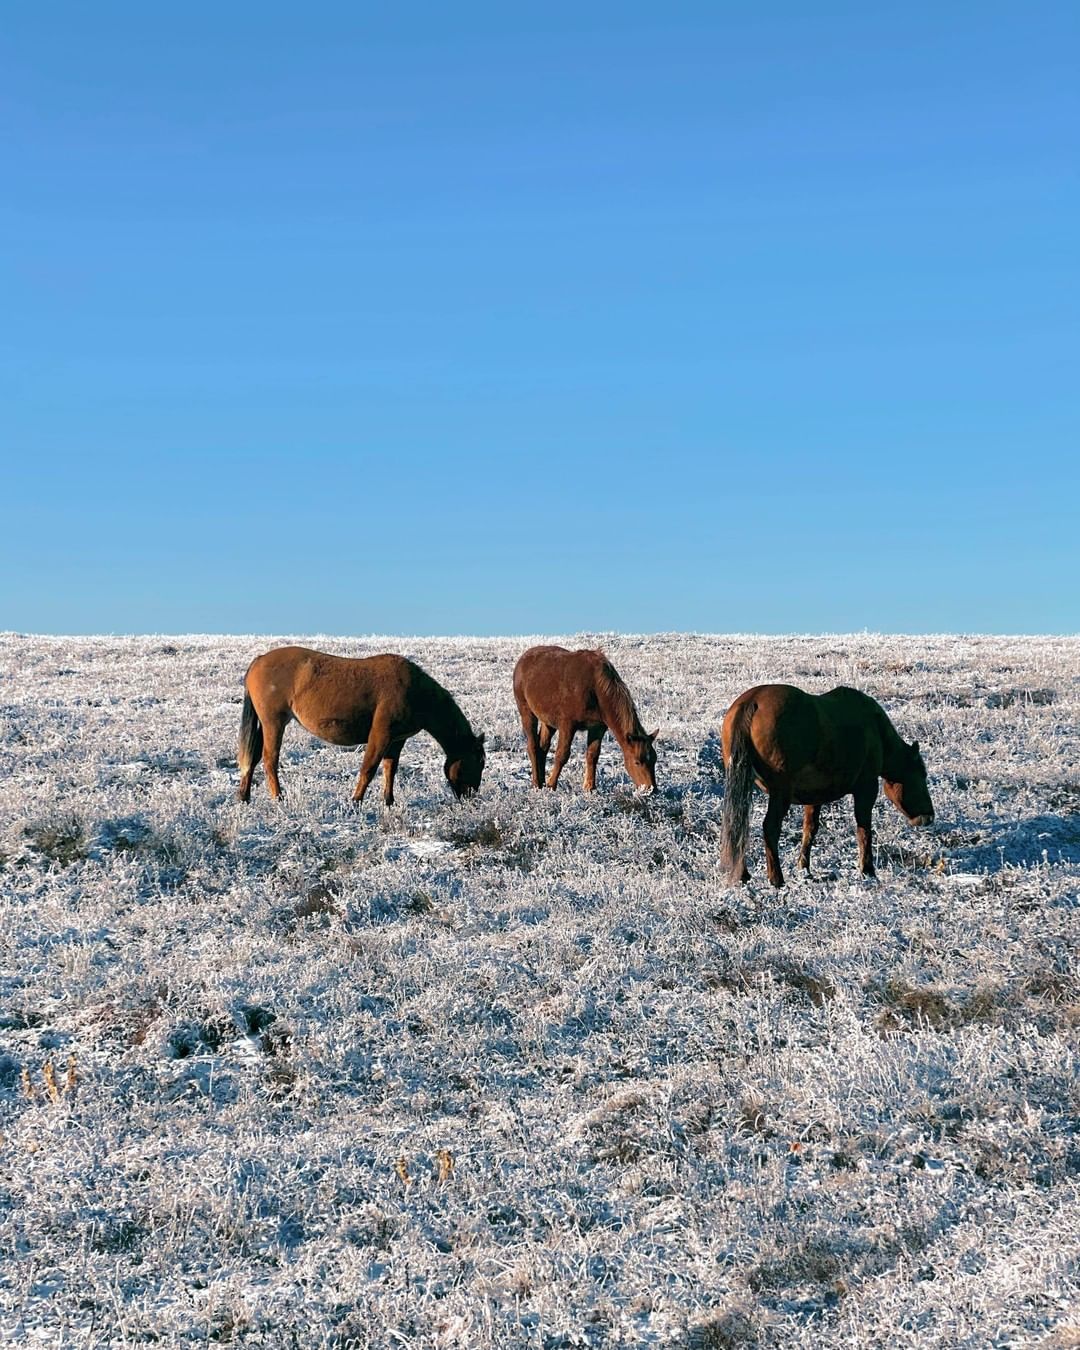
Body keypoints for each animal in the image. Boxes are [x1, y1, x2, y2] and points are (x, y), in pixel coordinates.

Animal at [236, 647, 485, 806]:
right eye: (479, 762)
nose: (471, 798)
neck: (416, 692)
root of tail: (259, 660)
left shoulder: (397, 740)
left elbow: (390, 769)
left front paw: (388, 802)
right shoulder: (381, 735)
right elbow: (369, 768)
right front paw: (356, 802)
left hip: (265, 724)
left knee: (254, 758)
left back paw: (244, 797)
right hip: (274, 723)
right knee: (270, 760)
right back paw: (278, 798)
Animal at [512, 645, 658, 792]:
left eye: (654, 760)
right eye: (637, 762)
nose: (651, 790)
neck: (596, 689)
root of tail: (523, 659)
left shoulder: (598, 728)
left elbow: (593, 755)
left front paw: (590, 787)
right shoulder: (567, 726)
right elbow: (562, 755)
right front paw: (551, 785)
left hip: (548, 722)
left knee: (543, 748)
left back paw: (541, 782)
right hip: (527, 712)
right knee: (532, 747)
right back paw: (536, 783)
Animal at [721, 684, 934, 887]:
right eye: (921, 775)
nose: (928, 817)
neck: (876, 729)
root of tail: (752, 703)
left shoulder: (814, 797)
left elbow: (810, 830)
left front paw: (804, 868)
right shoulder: (866, 789)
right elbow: (864, 830)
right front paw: (868, 871)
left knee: (738, 825)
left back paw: (743, 875)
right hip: (780, 793)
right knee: (770, 828)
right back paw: (776, 880)